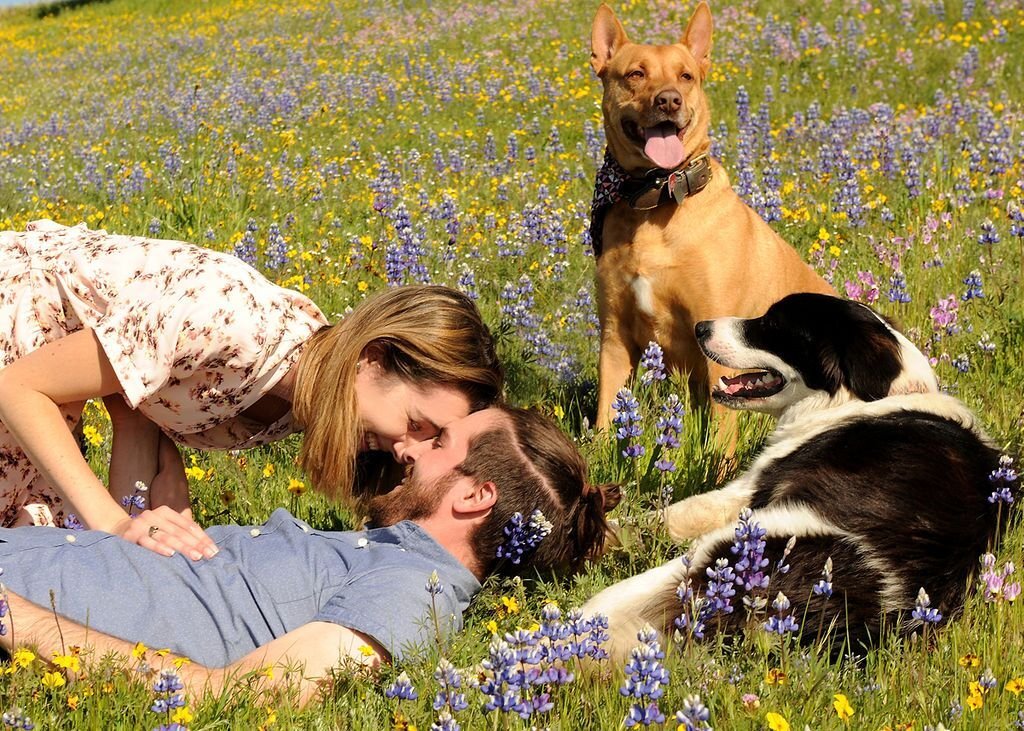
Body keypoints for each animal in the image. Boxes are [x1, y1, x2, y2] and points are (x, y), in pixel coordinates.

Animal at [585, 292, 1007, 659]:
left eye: (771, 324)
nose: (700, 327)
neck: (860, 396)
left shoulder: (749, 489)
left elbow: (667, 516)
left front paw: (607, 525)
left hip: (720, 549)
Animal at [589, 2, 835, 430]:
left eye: (686, 76)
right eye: (636, 74)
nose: (669, 100)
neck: (657, 200)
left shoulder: (716, 339)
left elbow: (721, 432)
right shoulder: (615, 335)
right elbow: (607, 413)